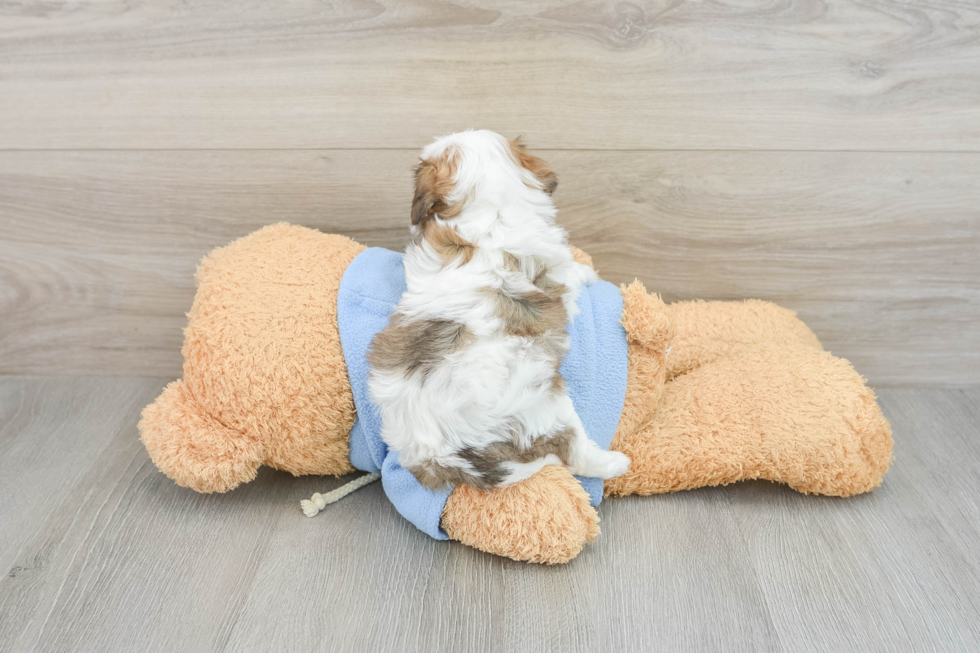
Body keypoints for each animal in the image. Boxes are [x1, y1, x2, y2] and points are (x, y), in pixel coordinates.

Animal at [366, 130, 628, 488]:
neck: (490, 211)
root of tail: (439, 455)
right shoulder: (557, 272)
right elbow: (573, 275)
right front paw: (589, 272)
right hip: (546, 408)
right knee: (575, 453)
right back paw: (615, 463)